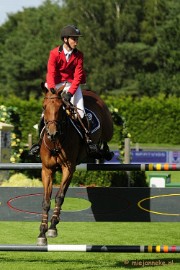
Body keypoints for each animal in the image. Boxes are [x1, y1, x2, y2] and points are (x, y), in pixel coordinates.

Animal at [37, 84, 113, 245]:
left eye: (60, 108)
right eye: (44, 107)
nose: (52, 133)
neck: (56, 142)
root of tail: (90, 92)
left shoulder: (68, 168)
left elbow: (59, 197)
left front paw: (53, 227)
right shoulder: (47, 170)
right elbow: (46, 201)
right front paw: (42, 232)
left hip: (108, 128)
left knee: (106, 138)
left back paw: (103, 151)